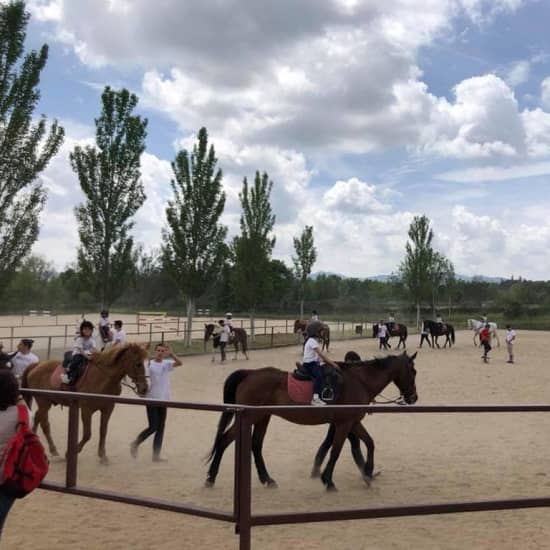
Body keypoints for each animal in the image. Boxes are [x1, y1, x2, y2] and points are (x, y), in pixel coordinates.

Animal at [21, 344, 149, 466]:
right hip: (44, 402)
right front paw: (69, 453)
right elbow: (87, 434)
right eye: (138, 364)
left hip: (46, 403)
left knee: (38, 418)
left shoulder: (108, 408)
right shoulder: (86, 410)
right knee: (45, 424)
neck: (103, 378)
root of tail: (36, 365)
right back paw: (53, 450)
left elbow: (103, 431)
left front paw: (103, 456)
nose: (144, 388)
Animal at [207, 352, 418, 494]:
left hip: (262, 417)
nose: (413, 398)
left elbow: (370, 443)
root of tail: (250, 374)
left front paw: (367, 472)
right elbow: (336, 451)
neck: (359, 381)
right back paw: (211, 477)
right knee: (225, 440)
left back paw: (267, 479)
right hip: (251, 417)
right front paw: (328, 480)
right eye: (413, 371)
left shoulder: (352, 422)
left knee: (256, 445)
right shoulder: (344, 423)